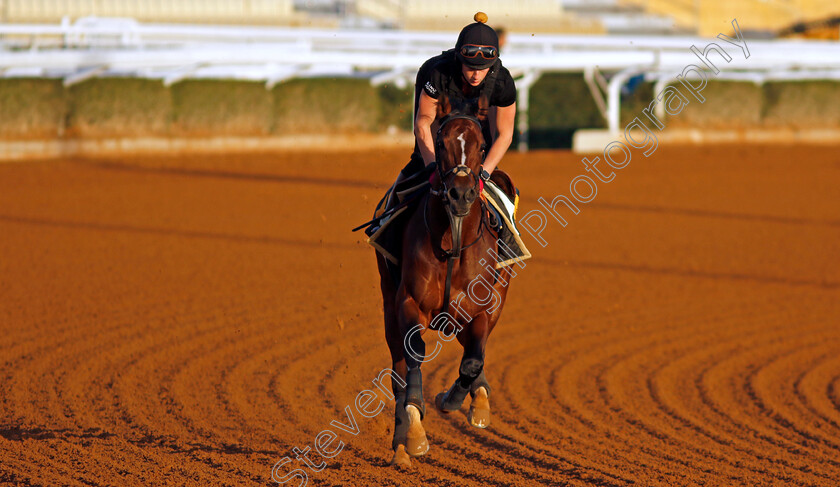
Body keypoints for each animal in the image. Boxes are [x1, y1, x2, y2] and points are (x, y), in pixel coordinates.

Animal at [378, 94, 516, 466]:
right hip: (388, 302)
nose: (461, 194)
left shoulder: (483, 308)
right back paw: (400, 447)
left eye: (482, 145)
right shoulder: (408, 302)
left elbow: (472, 361)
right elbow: (412, 360)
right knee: (398, 370)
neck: (453, 241)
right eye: (440, 142)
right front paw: (414, 434)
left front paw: (457, 400)